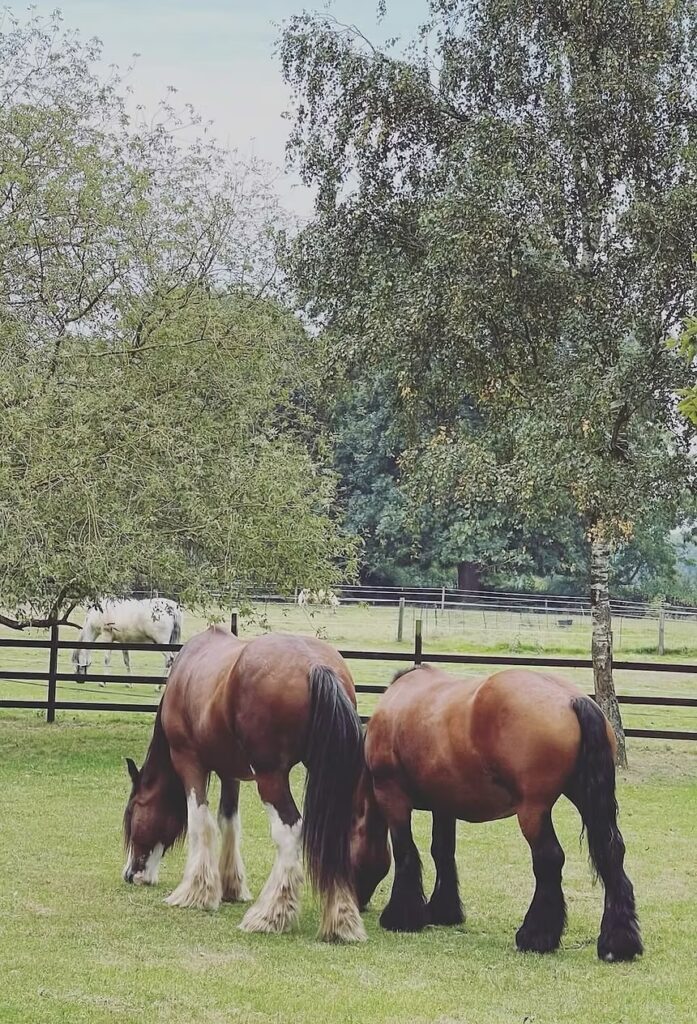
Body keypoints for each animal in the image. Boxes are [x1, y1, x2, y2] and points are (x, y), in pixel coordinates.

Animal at [122, 626, 366, 943]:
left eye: (132, 813)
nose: (130, 874)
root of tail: (316, 665)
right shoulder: (230, 772)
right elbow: (228, 822)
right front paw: (229, 887)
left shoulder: (189, 761)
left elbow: (200, 822)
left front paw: (195, 892)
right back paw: (341, 920)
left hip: (270, 778)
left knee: (289, 830)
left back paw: (270, 914)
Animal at [350, 665, 643, 963]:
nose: (358, 903)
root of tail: (572, 700)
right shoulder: (444, 804)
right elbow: (442, 852)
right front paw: (444, 911)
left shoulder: (392, 795)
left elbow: (406, 853)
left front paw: (401, 917)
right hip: (585, 797)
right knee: (612, 853)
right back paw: (617, 944)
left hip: (533, 810)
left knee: (549, 860)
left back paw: (535, 936)